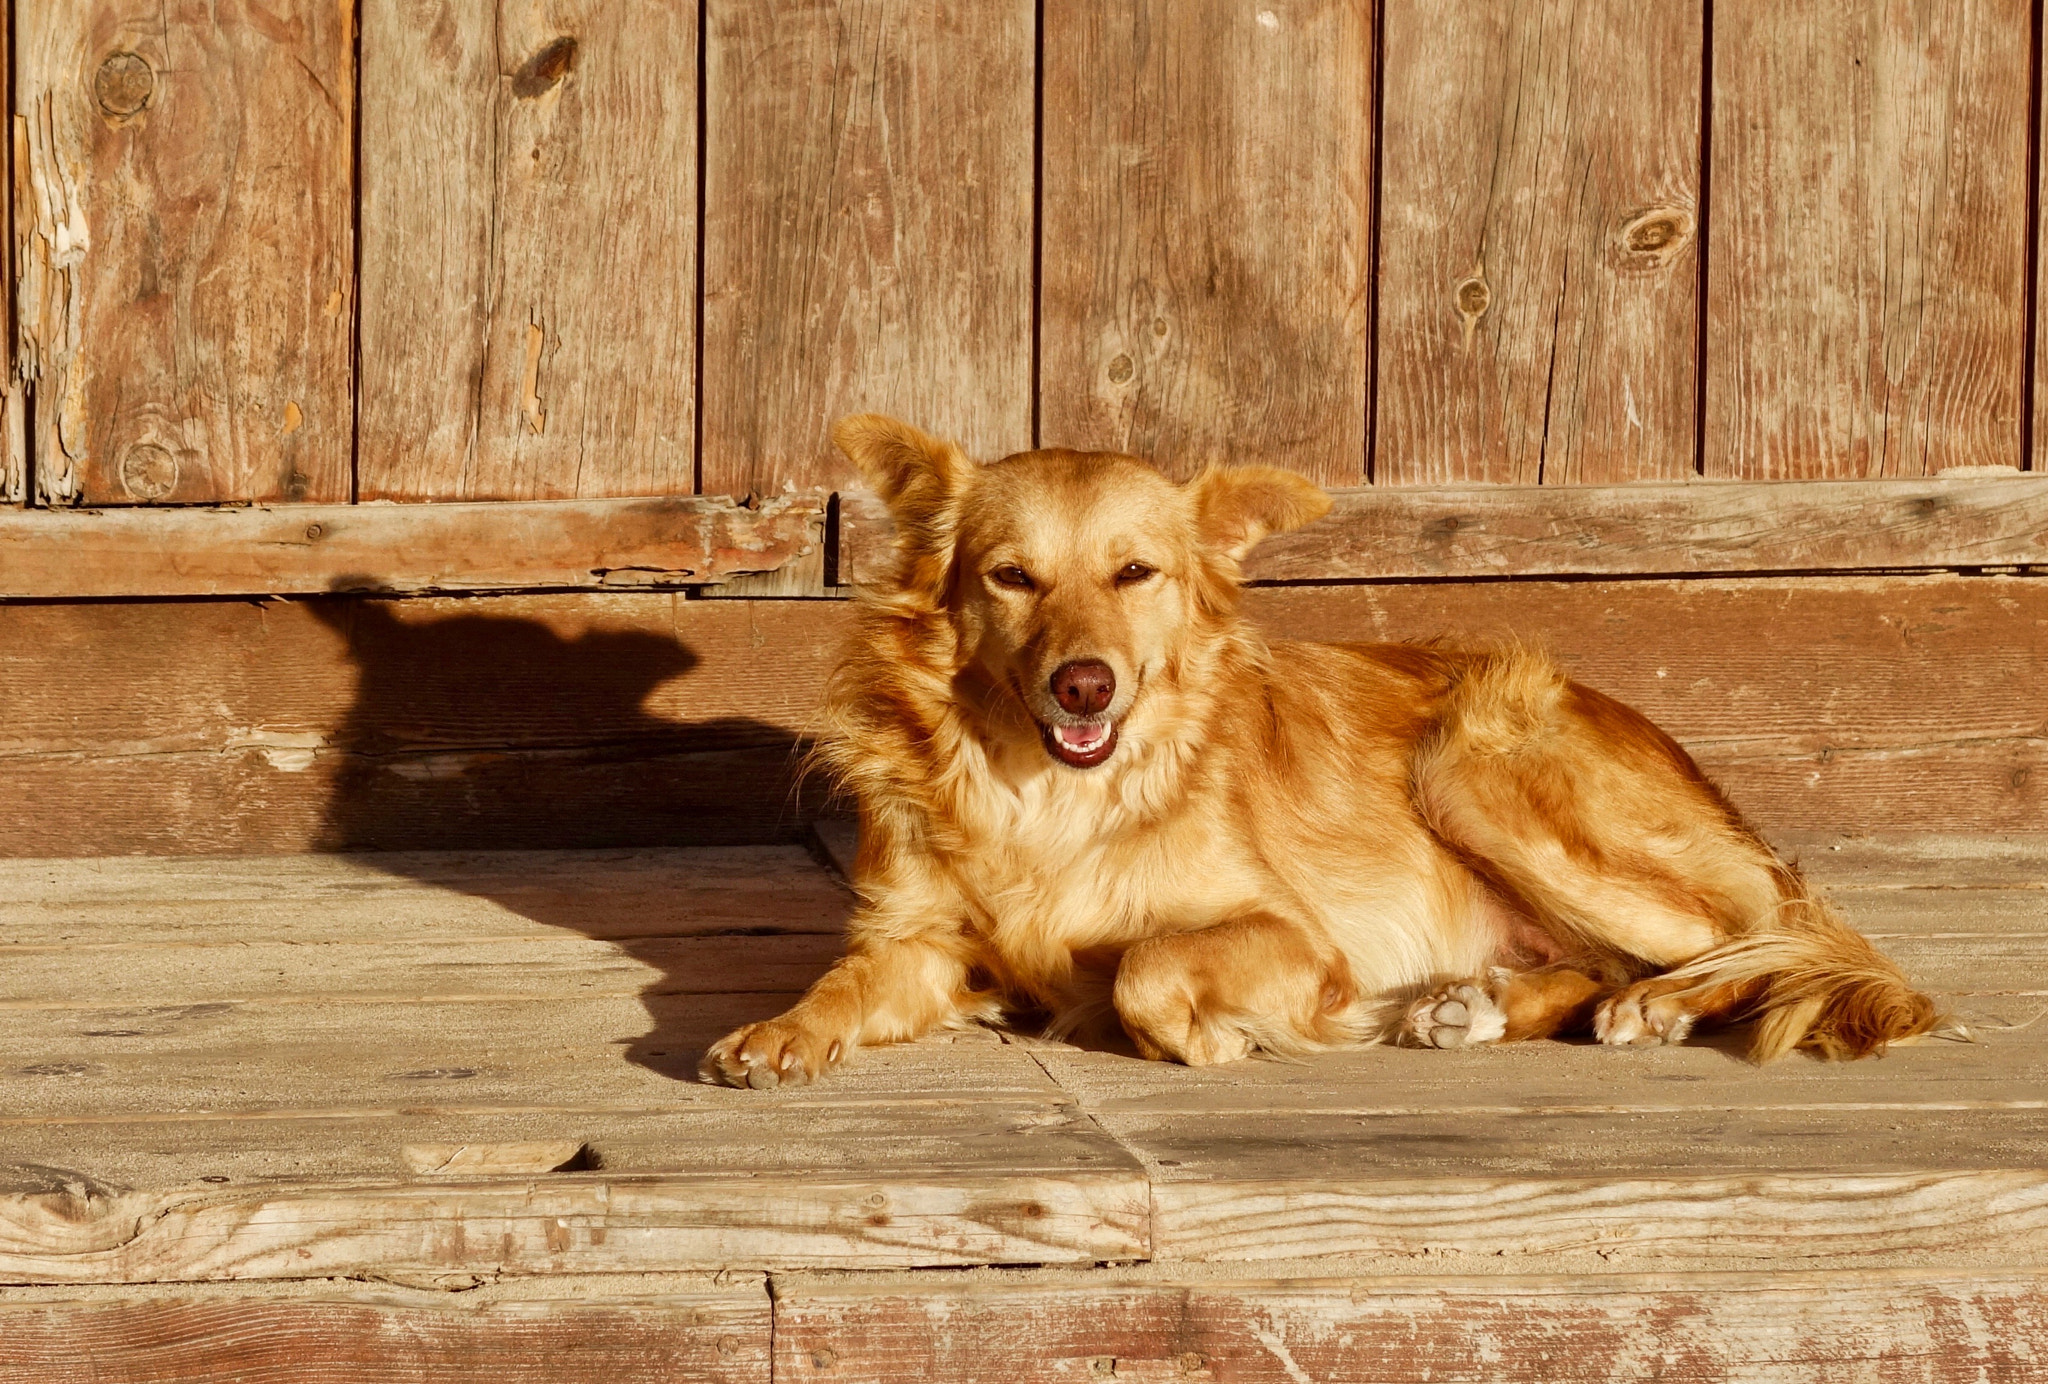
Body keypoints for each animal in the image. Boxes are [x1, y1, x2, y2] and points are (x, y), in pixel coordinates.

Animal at [700, 415, 1933, 1089]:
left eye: (1134, 573)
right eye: (1010, 576)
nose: (1084, 683)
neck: (1049, 797)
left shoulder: (1294, 937)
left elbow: (1148, 965)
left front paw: (1208, 1039)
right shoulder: (916, 942)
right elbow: (844, 980)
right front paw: (780, 1030)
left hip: (1472, 765)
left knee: (1787, 939)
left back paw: (1665, 1005)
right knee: (1612, 963)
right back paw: (1474, 1004)